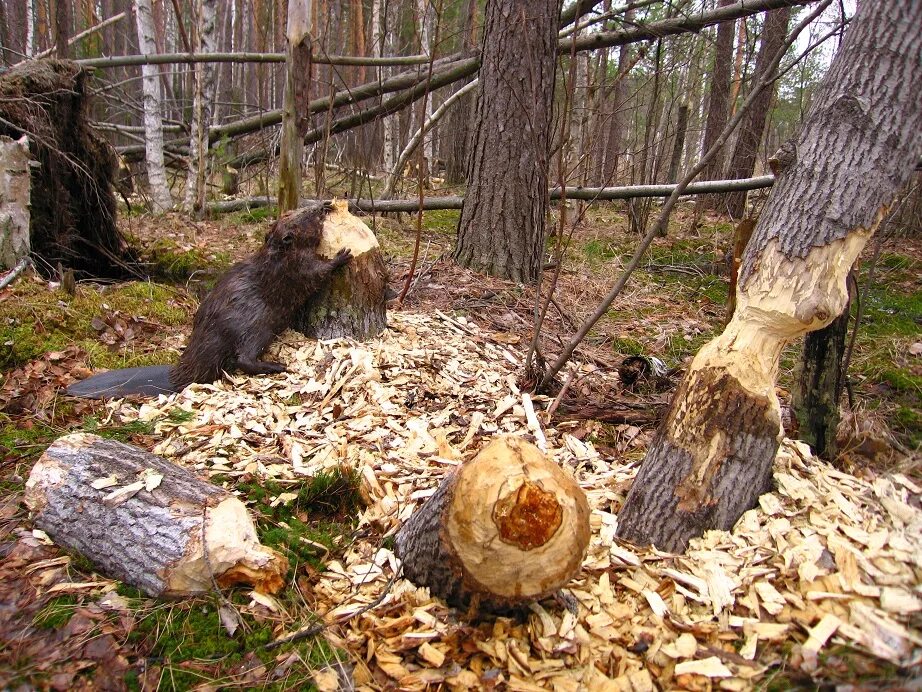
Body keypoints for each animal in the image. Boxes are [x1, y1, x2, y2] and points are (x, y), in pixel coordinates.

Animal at [66, 200, 350, 400]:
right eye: (308, 216)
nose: (325, 205)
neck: (277, 253)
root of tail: (176, 376)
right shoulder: (291, 268)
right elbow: (315, 273)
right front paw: (343, 254)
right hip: (255, 326)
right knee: (243, 358)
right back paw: (277, 366)